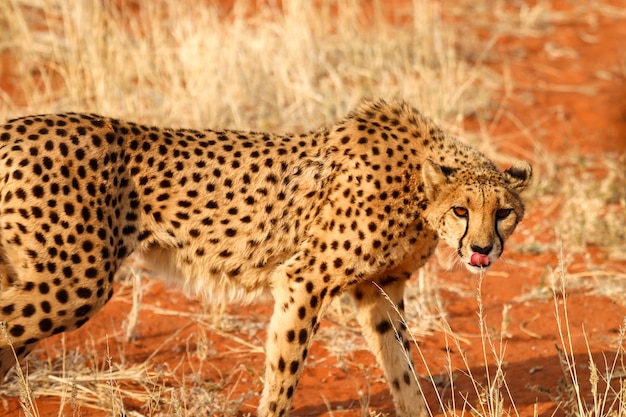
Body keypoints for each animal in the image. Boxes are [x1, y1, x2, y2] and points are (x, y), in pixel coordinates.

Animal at [0, 101, 532, 416]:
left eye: (503, 213)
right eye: (462, 210)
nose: (482, 249)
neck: (419, 189)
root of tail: (18, 125)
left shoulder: (378, 290)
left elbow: (401, 366)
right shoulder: (305, 279)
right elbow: (284, 369)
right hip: (72, 284)